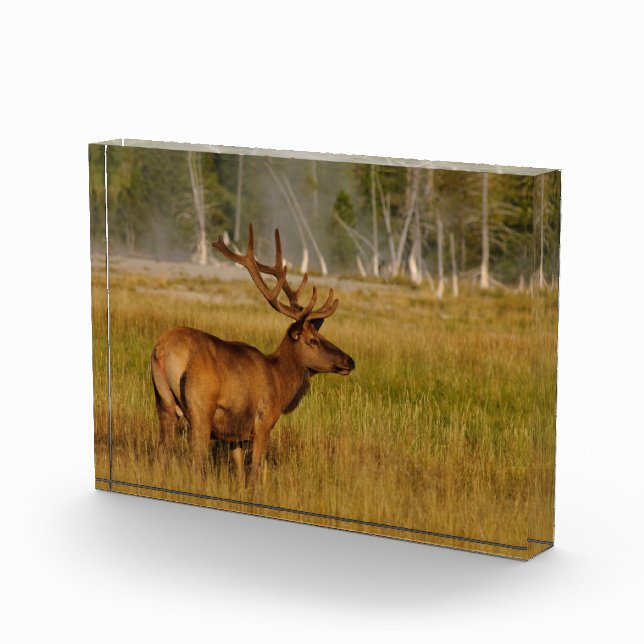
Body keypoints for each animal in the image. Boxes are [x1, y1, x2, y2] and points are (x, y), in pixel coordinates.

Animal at [150, 223, 355, 486]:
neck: (280, 382)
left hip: (163, 401)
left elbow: (239, 472)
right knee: (195, 460)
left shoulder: (235, 436)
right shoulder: (263, 422)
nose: (349, 360)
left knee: (162, 454)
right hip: (200, 408)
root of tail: (162, 350)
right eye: (313, 340)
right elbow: (256, 471)